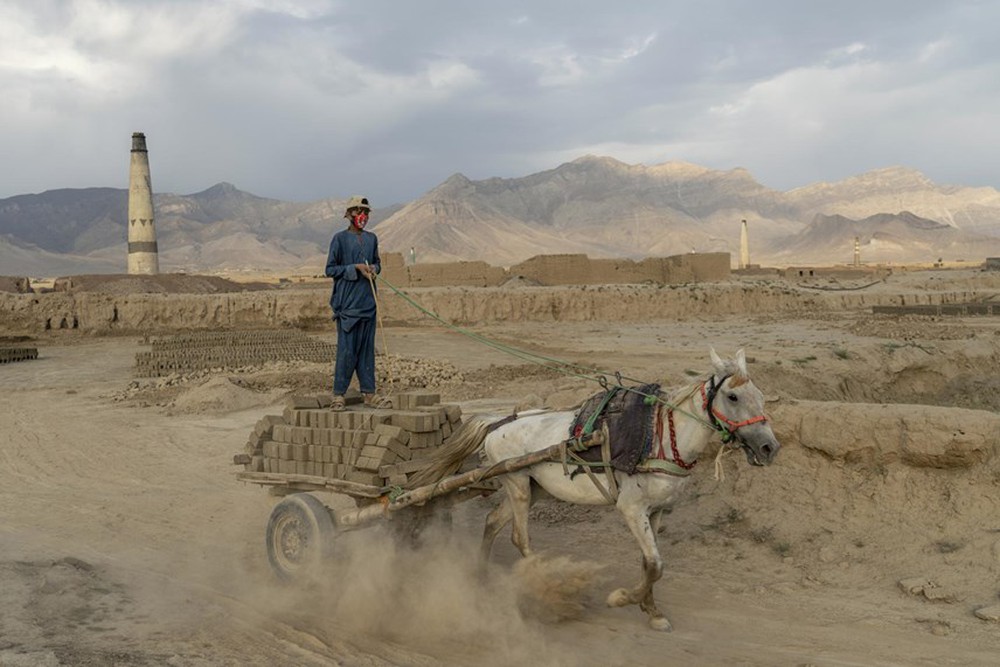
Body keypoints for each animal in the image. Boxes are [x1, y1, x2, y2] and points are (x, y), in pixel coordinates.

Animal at [476, 350, 780, 632]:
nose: (769, 448)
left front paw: (653, 612)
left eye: (760, 395)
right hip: (517, 485)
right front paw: (622, 598)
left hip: (534, 489)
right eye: (733, 397)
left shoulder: (656, 510)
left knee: (492, 520)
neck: (660, 440)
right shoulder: (631, 508)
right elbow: (656, 564)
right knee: (519, 537)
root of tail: (497, 425)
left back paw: (481, 576)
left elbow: (649, 563)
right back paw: (549, 585)